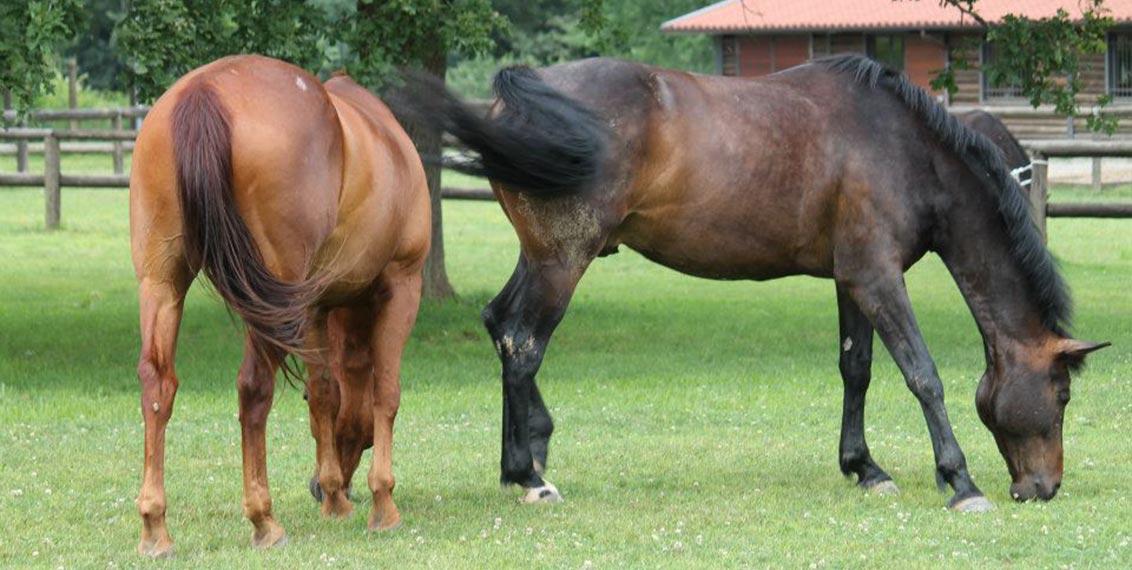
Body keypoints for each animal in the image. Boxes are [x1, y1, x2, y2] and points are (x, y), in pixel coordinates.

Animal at [129, 56, 427, 556]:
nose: (316, 488)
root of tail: (205, 92)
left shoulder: (315, 308)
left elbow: (325, 393)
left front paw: (335, 498)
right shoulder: (401, 284)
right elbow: (385, 394)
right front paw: (382, 502)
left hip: (163, 283)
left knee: (158, 385)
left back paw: (155, 526)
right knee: (254, 389)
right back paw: (264, 519)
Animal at [407, 56, 1104, 511]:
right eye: (1063, 395)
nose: (1043, 489)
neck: (906, 148)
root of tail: (520, 96)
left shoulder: (853, 279)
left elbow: (857, 369)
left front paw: (864, 467)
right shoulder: (879, 280)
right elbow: (922, 375)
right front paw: (959, 482)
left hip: (543, 257)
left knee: (500, 325)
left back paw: (525, 455)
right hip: (562, 260)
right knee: (523, 344)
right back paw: (529, 477)